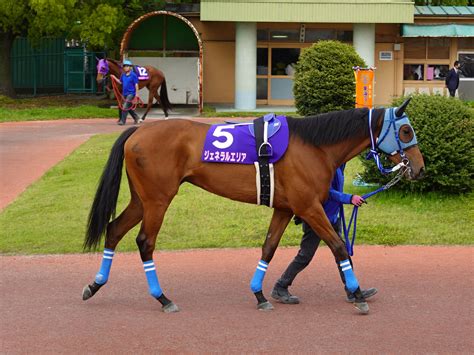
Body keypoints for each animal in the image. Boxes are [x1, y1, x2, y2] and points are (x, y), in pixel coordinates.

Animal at [82, 99, 426, 314]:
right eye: (406, 130)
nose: (420, 167)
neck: (314, 146)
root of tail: (138, 130)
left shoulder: (285, 208)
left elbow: (269, 248)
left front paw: (260, 294)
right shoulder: (309, 207)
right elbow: (338, 246)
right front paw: (356, 294)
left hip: (141, 199)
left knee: (114, 230)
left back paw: (95, 285)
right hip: (158, 200)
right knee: (145, 242)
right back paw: (163, 299)